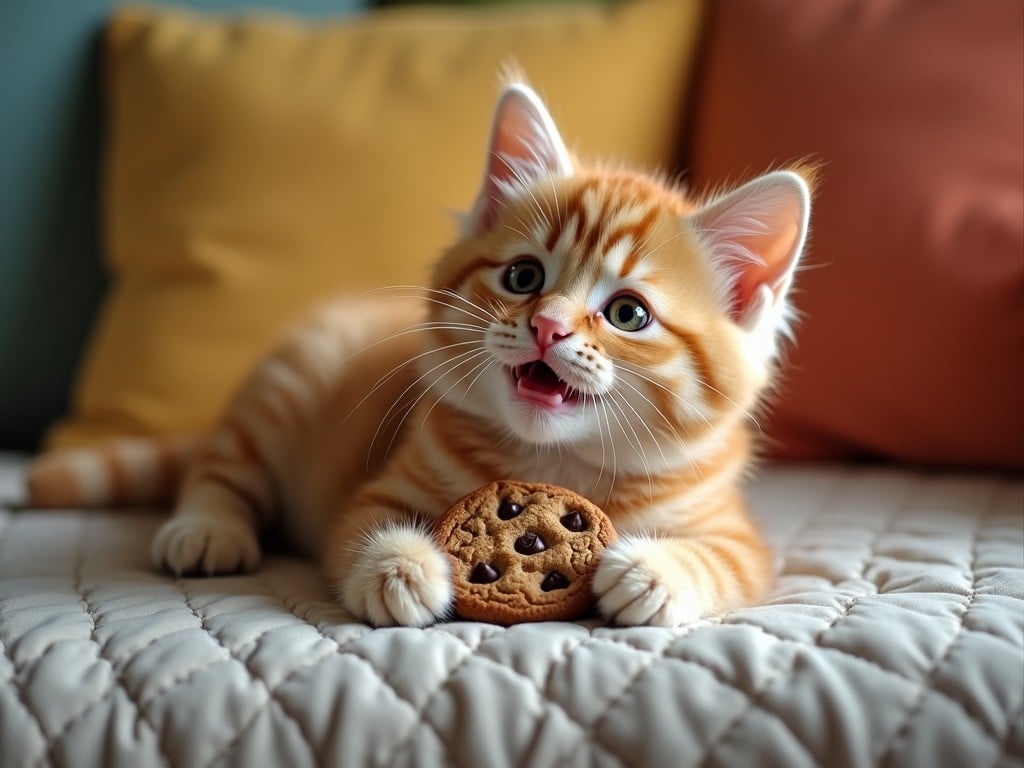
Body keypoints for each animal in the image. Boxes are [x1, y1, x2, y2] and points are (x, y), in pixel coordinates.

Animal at [28, 81, 815, 626]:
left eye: (629, 314)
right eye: (524, 278)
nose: (548, 328)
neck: (554, 462)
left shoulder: (734, 530)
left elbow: (726, 561)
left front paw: (652, 574)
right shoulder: (379, 486)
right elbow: (364, 525)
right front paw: (401, 572)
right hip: (284, 383)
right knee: (222, 466)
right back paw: (205, 529)